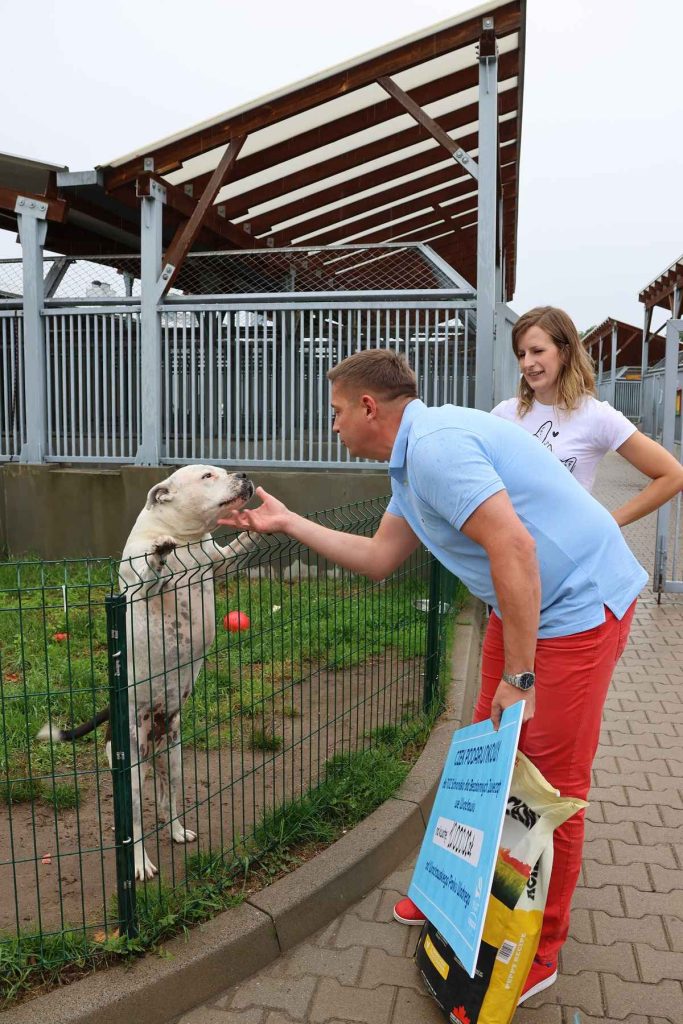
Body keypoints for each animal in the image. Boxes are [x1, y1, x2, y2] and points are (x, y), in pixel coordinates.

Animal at [38, 464, 255, 880]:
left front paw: (263, 523)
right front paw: (158, 553)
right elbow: (150, 571)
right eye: (207, 476)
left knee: (168, 803)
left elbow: (238, 547)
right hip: (132, 776)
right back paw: (140, 863)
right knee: (136, 824)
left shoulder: (219, 563)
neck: (188, 540)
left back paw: (178, 831)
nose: (243, 475)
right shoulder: (145, 586)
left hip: (173, 759)